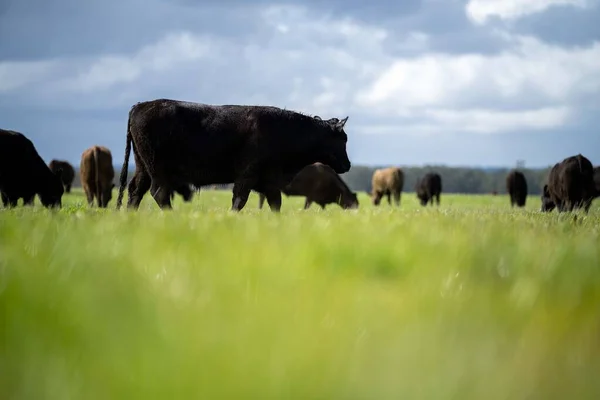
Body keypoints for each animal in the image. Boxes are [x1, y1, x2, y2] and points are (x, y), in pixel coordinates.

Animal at [116, 99, 352, 212]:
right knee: (159, 193)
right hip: (157, 169)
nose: (348, 165)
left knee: (135, 191)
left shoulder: (269, 181)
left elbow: (275, 203)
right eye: (343, 139)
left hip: (143, 167)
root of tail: (140, 106)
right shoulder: (248, 175)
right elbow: (239, 200)